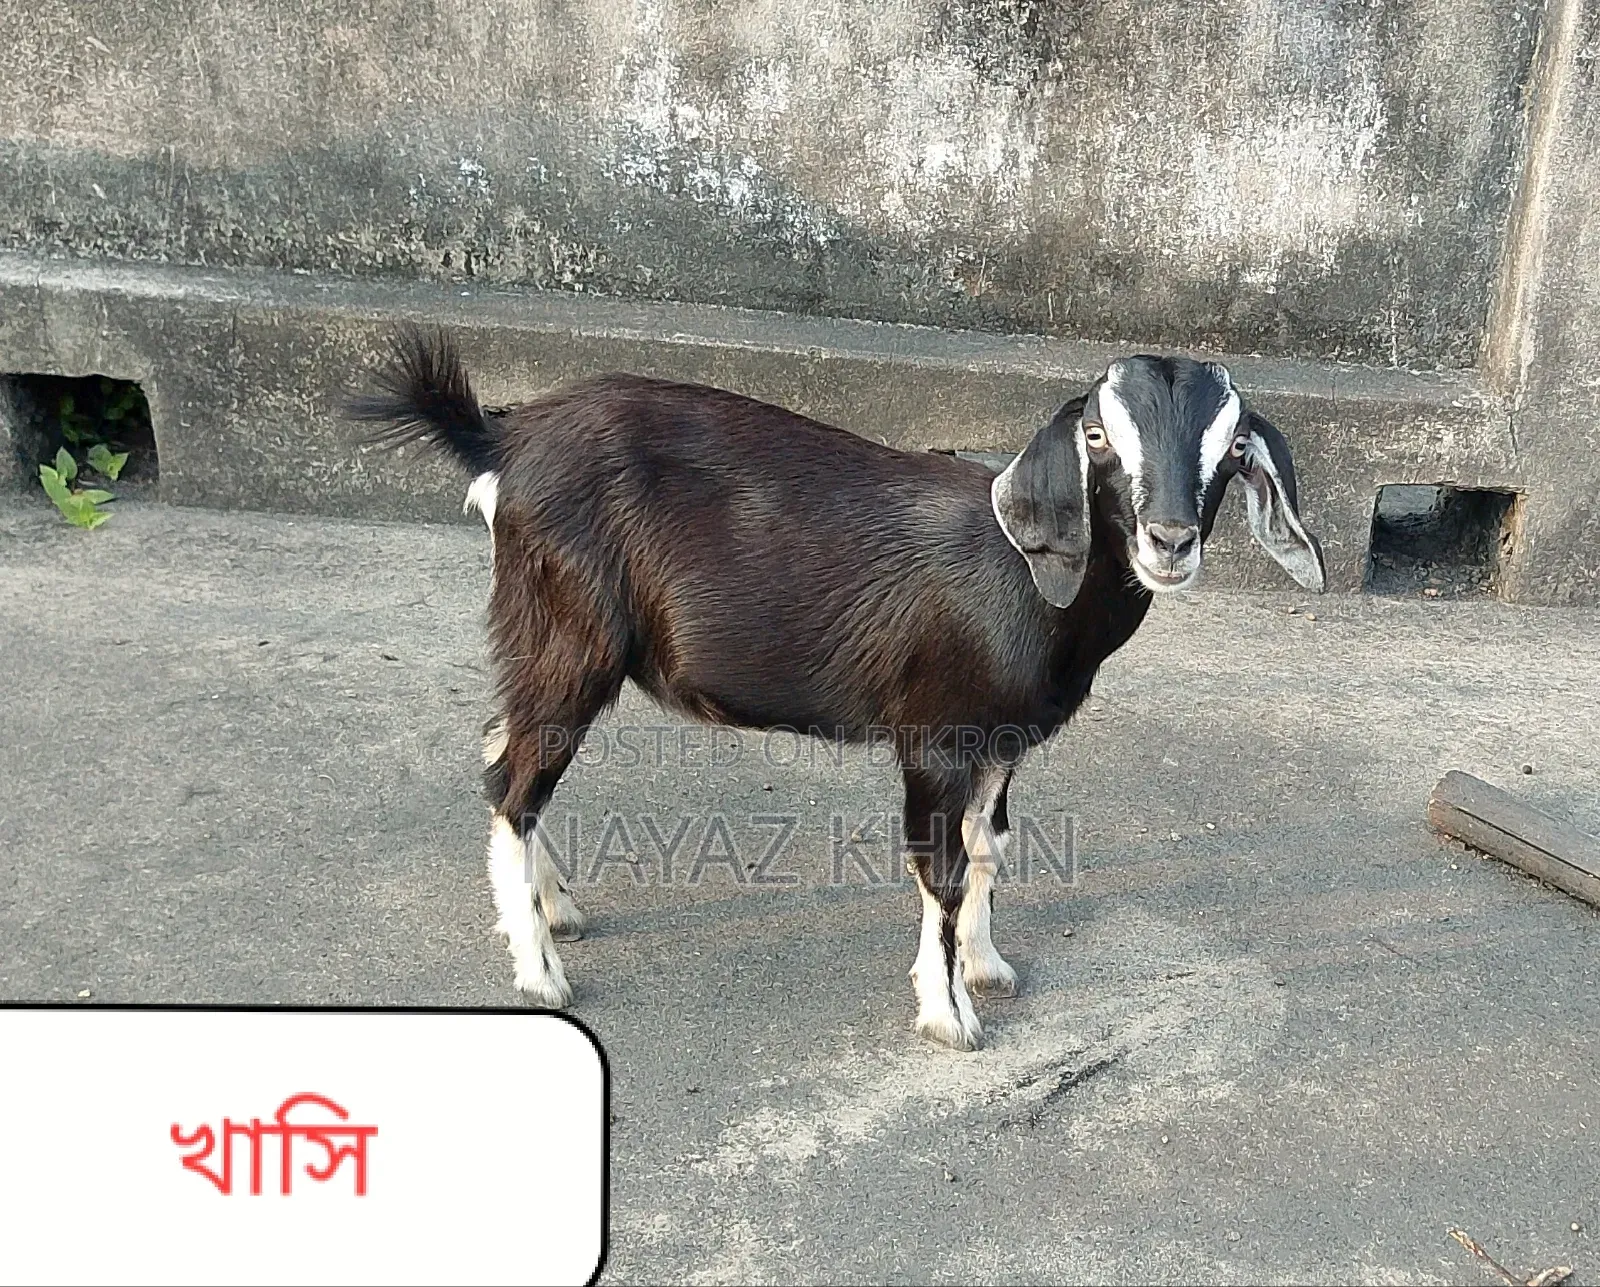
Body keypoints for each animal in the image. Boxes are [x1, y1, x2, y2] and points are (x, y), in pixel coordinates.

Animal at [349, 328, 1325, 1051]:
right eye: (1096, 438)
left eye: (1231, 448)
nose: (1170, 540)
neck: (1022, 576)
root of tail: (503, 439)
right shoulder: (935, 737)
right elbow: (941, 867)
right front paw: (949, 1016)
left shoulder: (1002, 742)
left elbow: (990, 848)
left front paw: (986, 965)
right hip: (570, 634)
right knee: (513, 780)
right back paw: (541, 971)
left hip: (541, 637)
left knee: (503, 750)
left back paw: (555, 908)